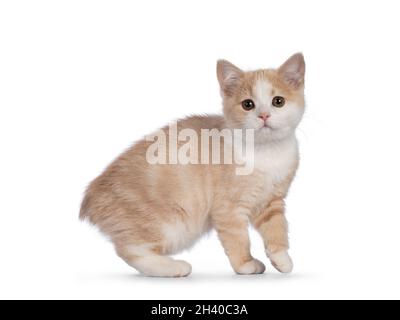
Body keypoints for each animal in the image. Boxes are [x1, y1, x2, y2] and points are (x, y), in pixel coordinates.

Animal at [81, 53, 306, 278]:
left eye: (278, 101)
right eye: (248, 104)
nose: (264, 115)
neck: (267, 152)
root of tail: (93, 195)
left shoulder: (272, 201)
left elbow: (277, 228)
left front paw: (282, 259)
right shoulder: (228, 208)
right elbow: (238, 239)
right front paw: (245, 264)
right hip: (170, 223)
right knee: (131, 250)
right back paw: (174, 267)